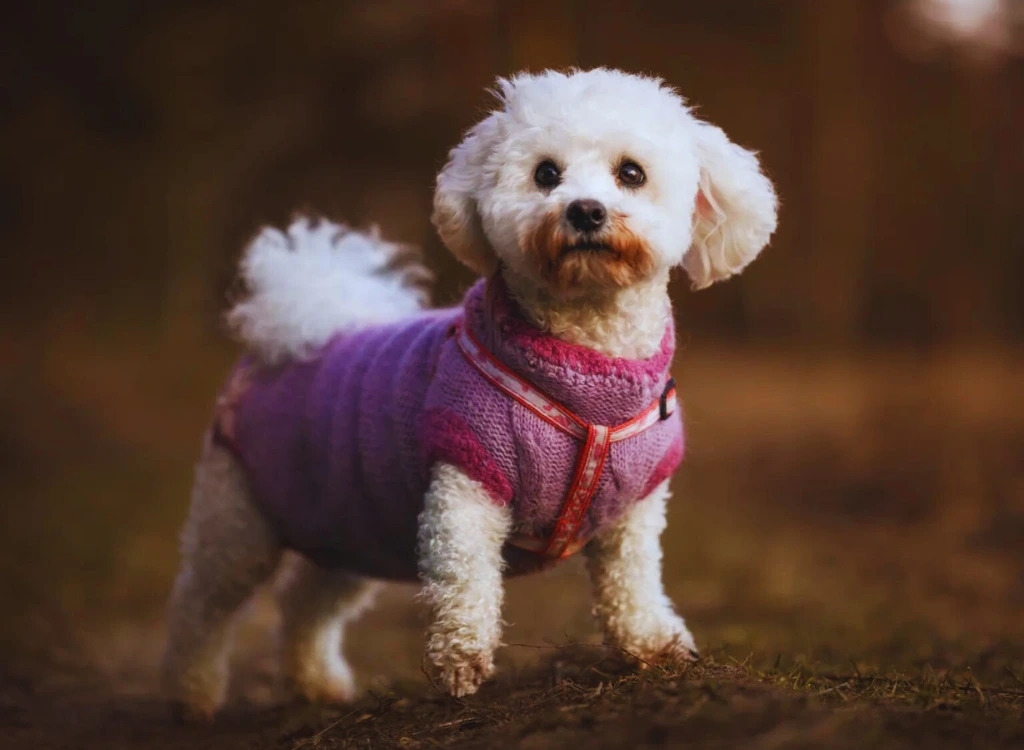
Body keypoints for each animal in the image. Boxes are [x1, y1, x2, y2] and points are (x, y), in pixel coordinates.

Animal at [159, 70, 774, 721]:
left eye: (631, 173)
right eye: (546, 173)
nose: (585, 210)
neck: (586, 375)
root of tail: (301, 326)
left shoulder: (634, 507)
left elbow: (632, 580)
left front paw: (652, 643)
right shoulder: (467, 477)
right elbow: (465, 573)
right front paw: (462, 657)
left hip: (349, 523)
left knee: (306, 599)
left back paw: (316, 682)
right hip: (239, 515)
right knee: (201, 604)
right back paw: (190, 693)